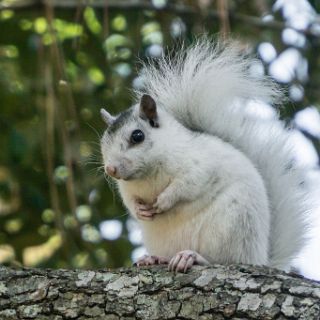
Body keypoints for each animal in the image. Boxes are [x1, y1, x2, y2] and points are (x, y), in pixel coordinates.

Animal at [99, 37, 310, 272]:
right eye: (103, 141)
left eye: (137, 136)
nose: (111, 169)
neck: (148, 174)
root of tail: (259, 257)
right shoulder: (127, 189)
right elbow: (129, 201)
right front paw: (140, 211)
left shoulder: (200, 164)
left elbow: (188, 184)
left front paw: (164, 201)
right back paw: (154, 258)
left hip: (231, 227)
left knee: (222, 260)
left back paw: (191, 257)